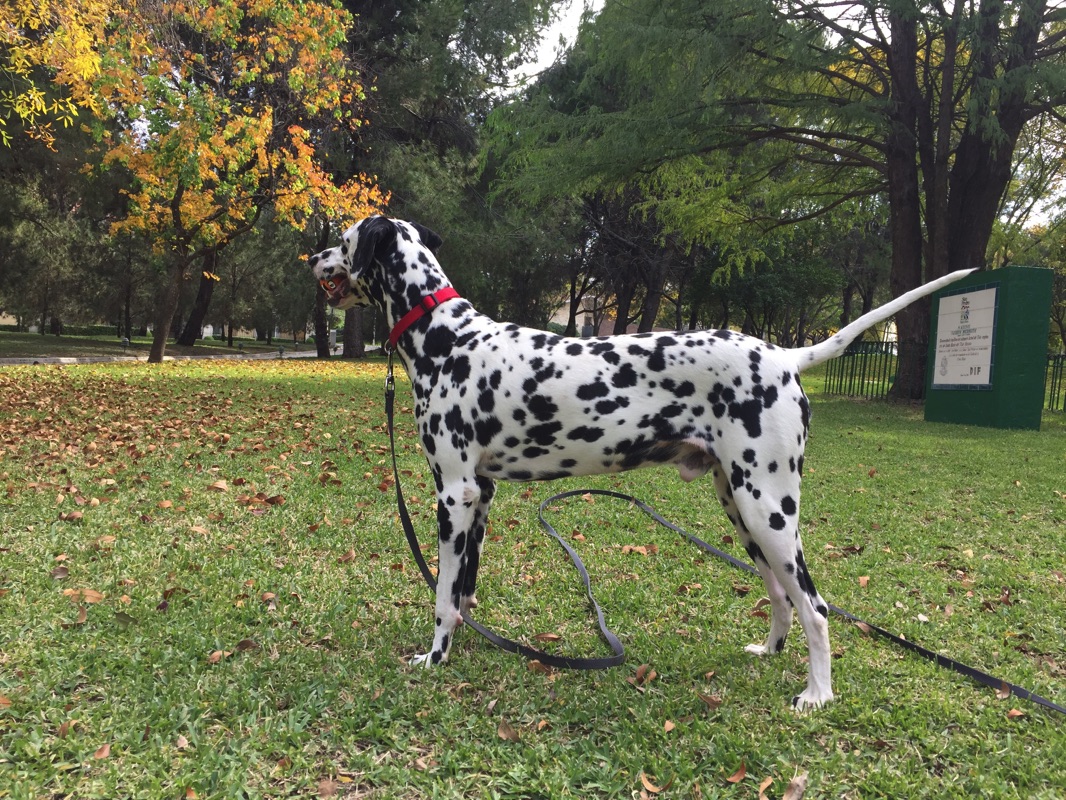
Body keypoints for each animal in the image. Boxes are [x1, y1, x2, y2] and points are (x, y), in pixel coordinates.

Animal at [309, 216, 976, 712]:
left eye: (341, 238)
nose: (310, 255)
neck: (448, 339)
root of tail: (785, 355)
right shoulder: (480, 496)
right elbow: (465, 588)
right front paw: (466, 646)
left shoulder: (454, 496)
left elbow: (444, 594)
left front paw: (436, 657)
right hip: (742, 509)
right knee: (780, 596)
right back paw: (769, 653)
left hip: (768, 510)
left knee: (815, 606)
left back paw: (817, 694)